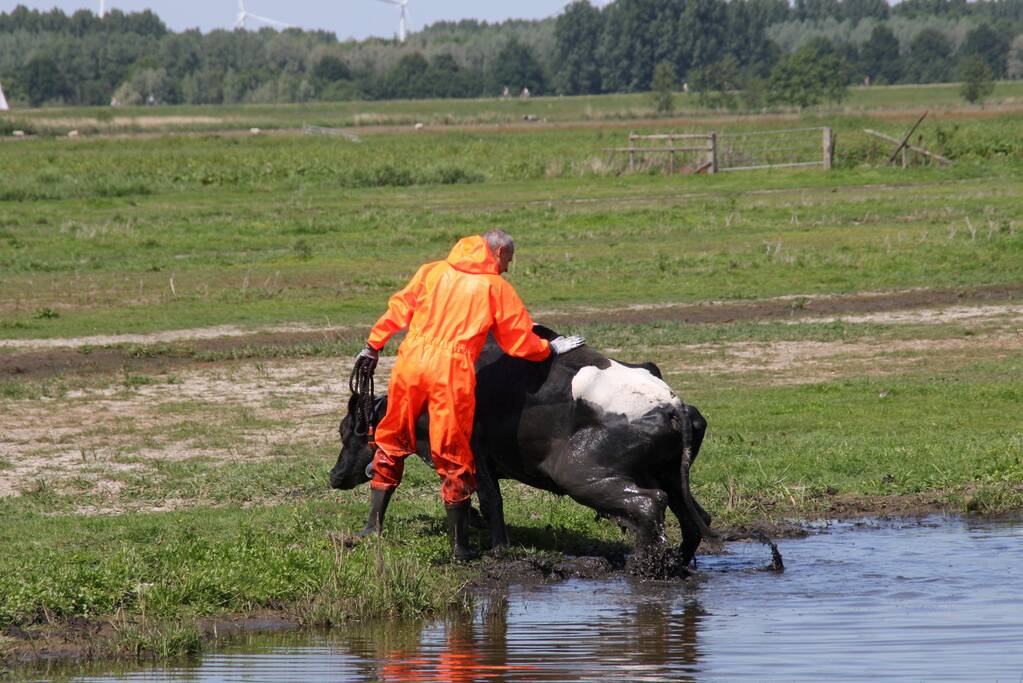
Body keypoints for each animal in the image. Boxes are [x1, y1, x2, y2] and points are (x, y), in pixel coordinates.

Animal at [329, 326, 714, 565]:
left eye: (348, 431)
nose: (334, 476)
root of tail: (672, 404)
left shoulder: (473, 454)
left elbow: (489, 500)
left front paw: (497, 549)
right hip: (669, 476)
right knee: (694, 516)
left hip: (579, 474)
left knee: (650, 505)